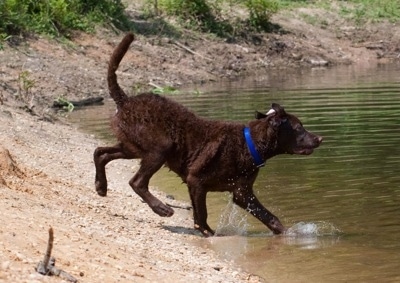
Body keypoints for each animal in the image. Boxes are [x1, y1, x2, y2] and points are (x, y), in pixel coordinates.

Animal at [94, 33, 322, 236]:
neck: (249, 144)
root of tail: (125, 101)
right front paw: (207, 232)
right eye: (299, 128)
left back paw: (101, 186)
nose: (320, 138)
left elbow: (270, 217)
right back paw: (162, 209)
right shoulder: (197, 181)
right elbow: (201, 213)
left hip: (133, 146)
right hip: (160, 148)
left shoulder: (242, 192)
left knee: (100, 152)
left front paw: (288, 234)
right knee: (137, 181)